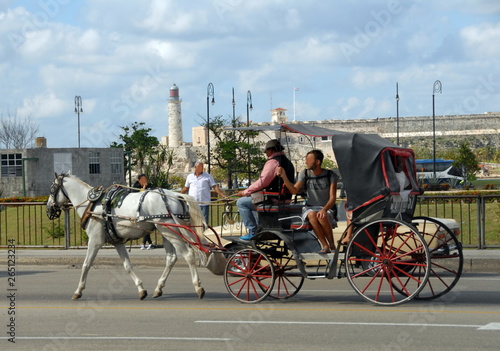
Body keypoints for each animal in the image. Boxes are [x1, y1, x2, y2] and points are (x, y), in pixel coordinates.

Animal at [45, 173, 225, 300]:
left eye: (52, 189)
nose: (48, 210)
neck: (92, 205)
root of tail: (177, 196)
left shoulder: (95, 240)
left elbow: (86, 265)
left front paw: (78, 290)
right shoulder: (117, 242)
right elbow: (127, 266)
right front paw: (141, 289)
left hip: (168, 229)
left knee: (188, 255)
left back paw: (198, 287)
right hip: (165, 230)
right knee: (171, 258)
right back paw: (158, 288)